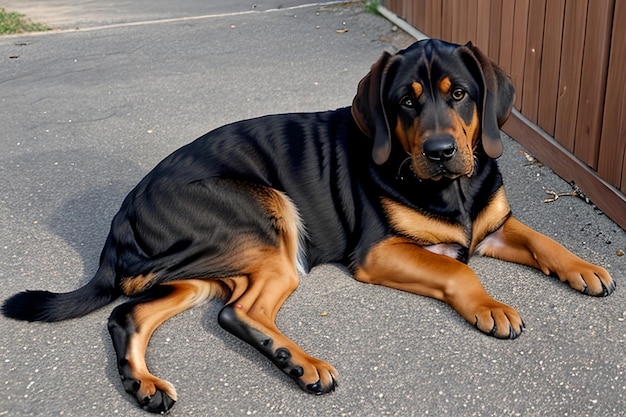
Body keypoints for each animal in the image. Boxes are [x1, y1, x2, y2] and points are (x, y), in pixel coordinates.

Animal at [2, 39, 612, 412]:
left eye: (460, 94)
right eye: (405, 103)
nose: (440, 152)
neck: (452, 190)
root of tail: (119, 223)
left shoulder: (494, 225)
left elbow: (544, 239)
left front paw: (586, 268)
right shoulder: (377, 251)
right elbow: (460, 273)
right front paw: (492, 306)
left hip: (201, 272)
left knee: (133, 314)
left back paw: (144, 384)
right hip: (270, 218)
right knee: (237, 311)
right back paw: (300, 363)